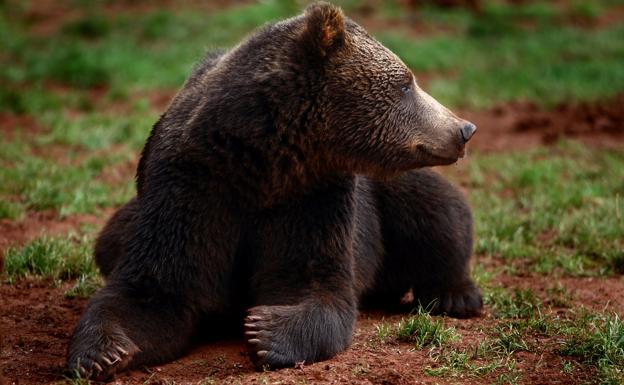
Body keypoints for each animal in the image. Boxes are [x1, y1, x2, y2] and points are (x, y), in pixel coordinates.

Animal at [66, 3, 480, 380]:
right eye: (405, 83)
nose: (464, 128)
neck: (262, 158)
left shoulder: (312, 195)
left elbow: (310, 280)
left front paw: (264, 330)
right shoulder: (190, 187)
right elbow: (154, 289)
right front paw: (100, 352)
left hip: (384, 192)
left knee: (437, 210)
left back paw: (457, 295)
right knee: (110, 239)